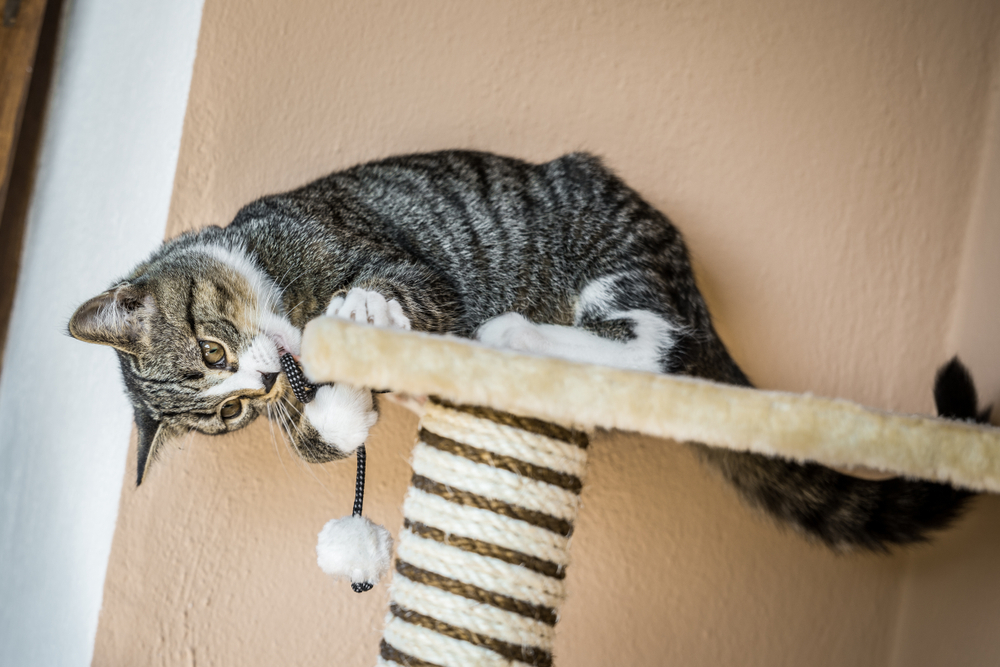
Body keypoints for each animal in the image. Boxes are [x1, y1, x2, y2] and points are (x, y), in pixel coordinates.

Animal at [70, 151, 976, 552]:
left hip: (608, 252)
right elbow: (311, 441)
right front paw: (338, 412)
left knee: (654, 345)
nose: (260, 378)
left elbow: (391, 285)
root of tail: (684, 264)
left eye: (212, 348)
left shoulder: (383, 253)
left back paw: (511, 333)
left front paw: (357, 311)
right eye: (231, 406)